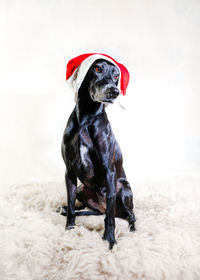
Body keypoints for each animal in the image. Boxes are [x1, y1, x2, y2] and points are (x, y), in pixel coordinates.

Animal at [61, 59, 136, 249]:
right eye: (97, 68)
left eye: (116, 75)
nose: (114, 91)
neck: (87, 118)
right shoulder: (69, 171)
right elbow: (71, 204)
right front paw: (69, 229)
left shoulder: (109, 172)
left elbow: (109, 218)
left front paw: (110, 239)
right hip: (82, 189)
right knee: (93, 211)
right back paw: (66, 210)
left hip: (123, 188)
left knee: (127, 214)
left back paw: (132, 229)